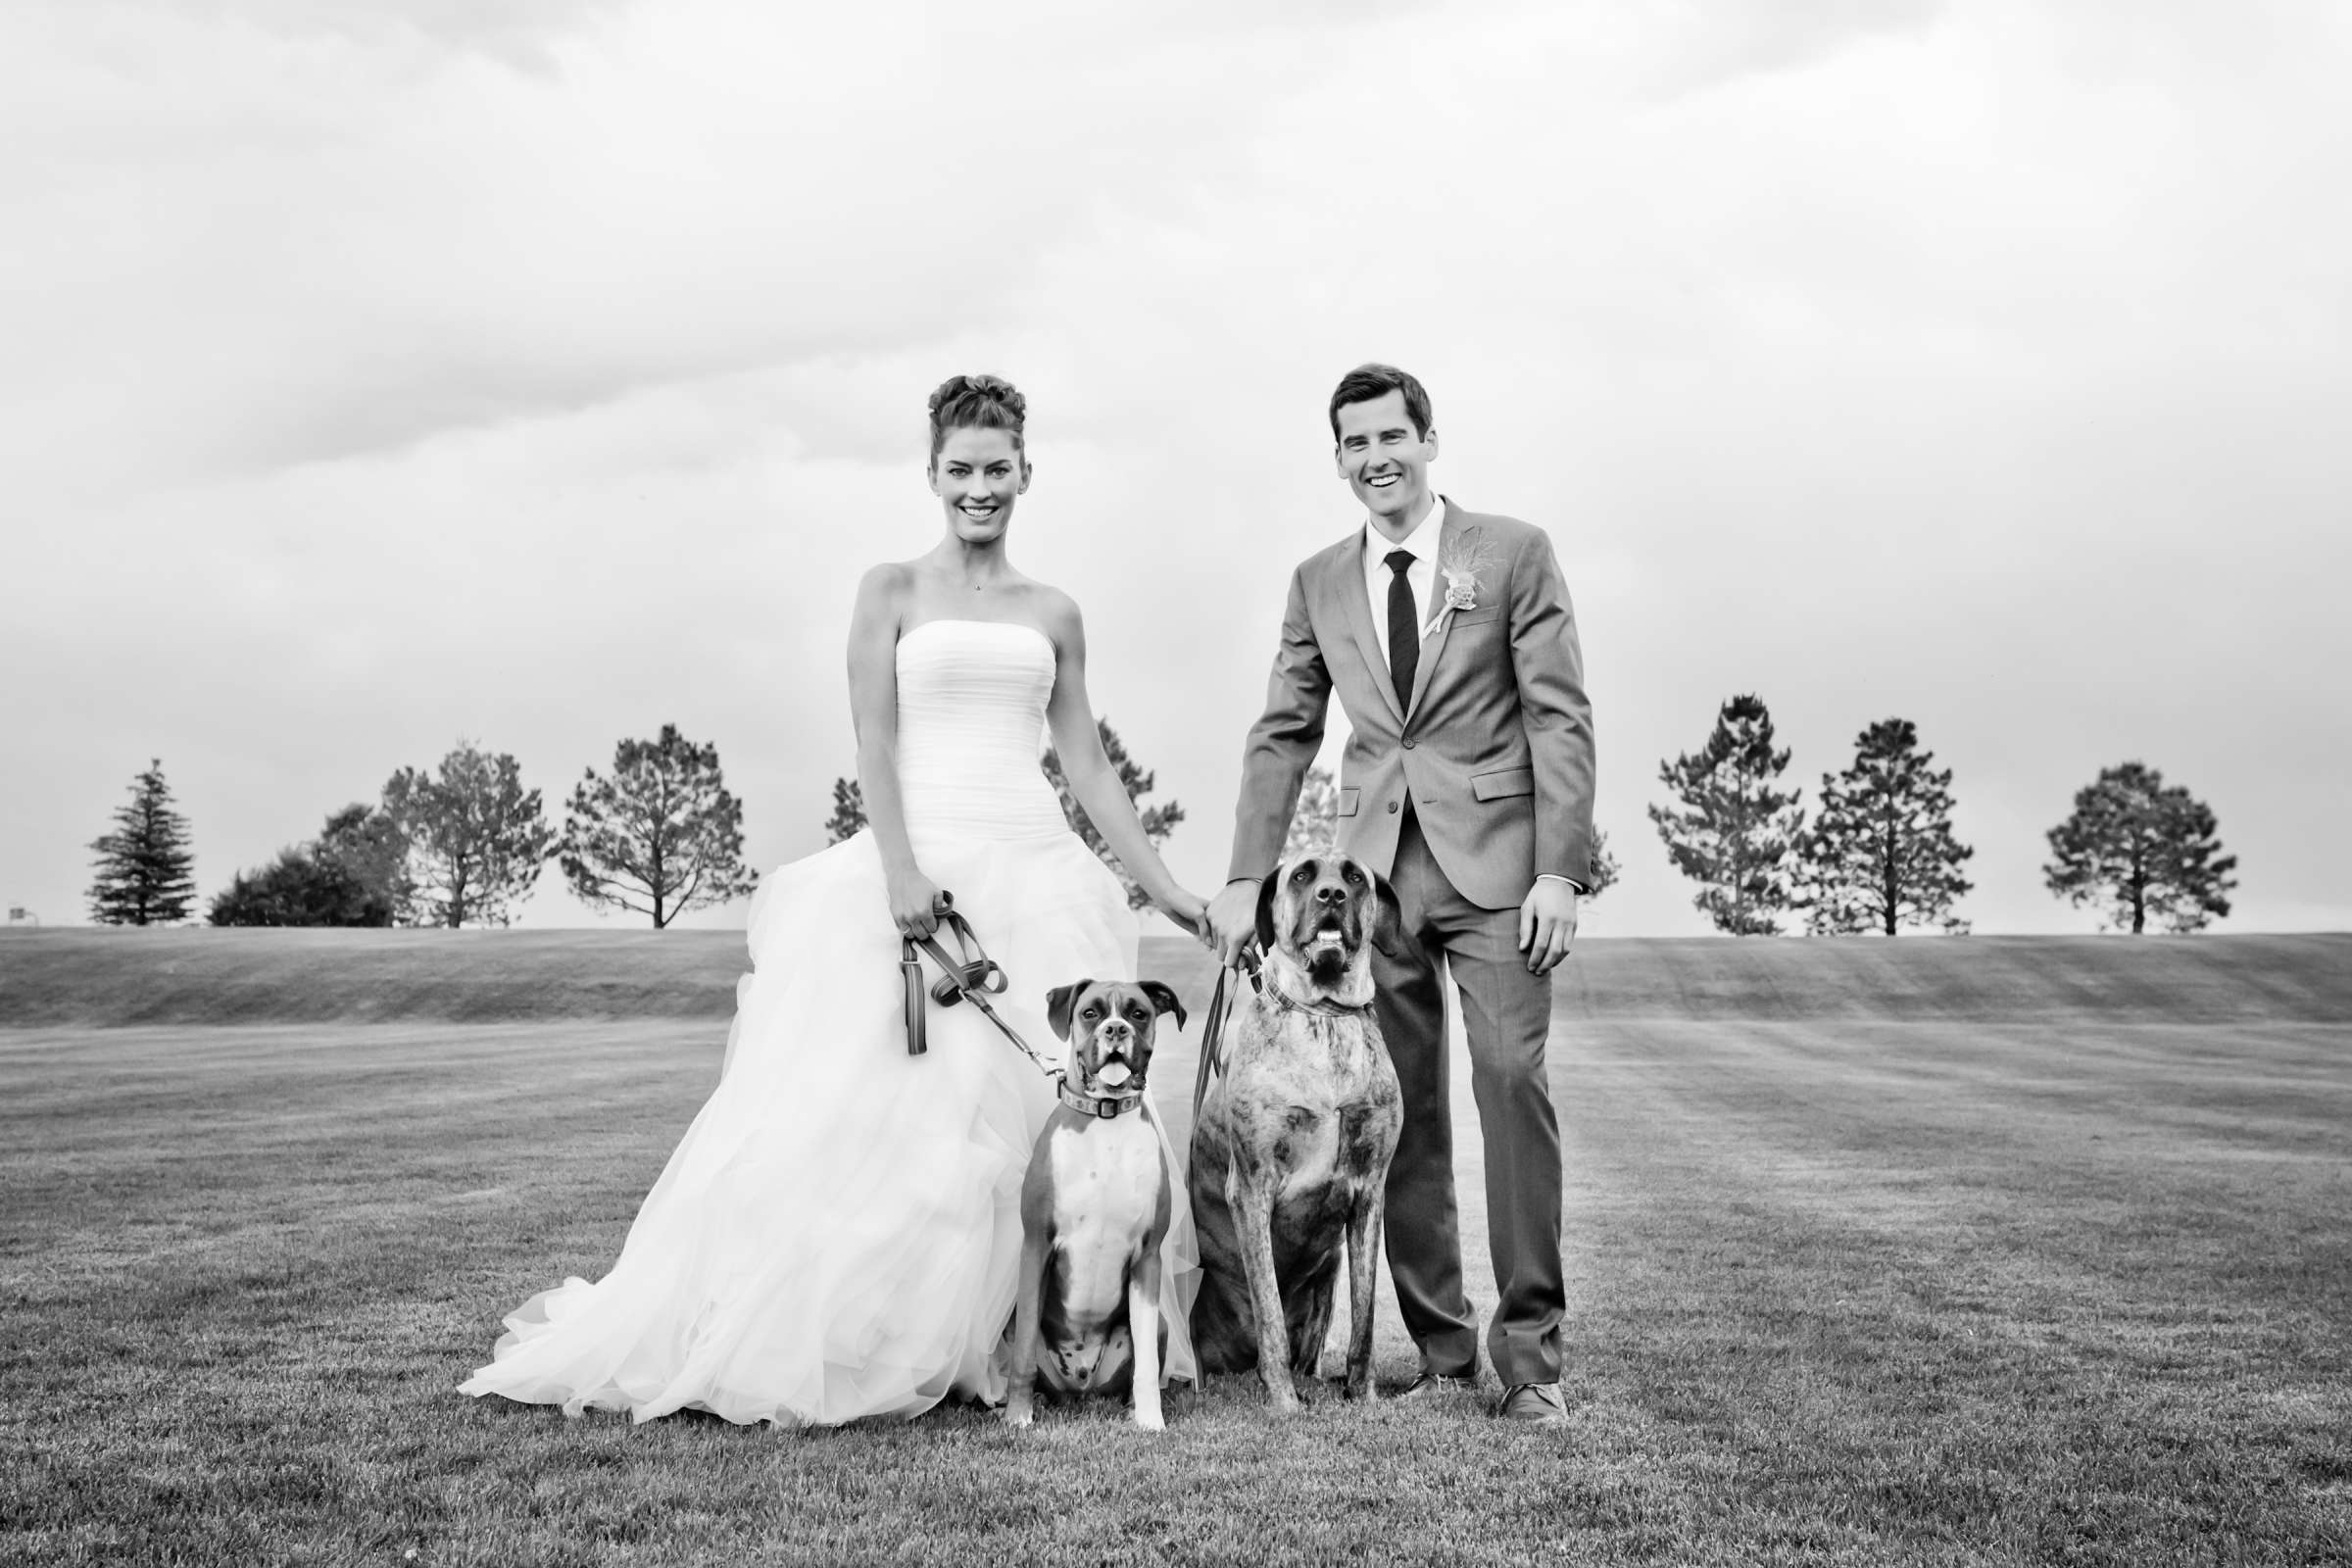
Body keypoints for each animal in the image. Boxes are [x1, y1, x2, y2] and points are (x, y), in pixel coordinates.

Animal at [1002, 982, 1185, 1439]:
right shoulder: (1036, 1246)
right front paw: (1017, 1415)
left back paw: (1130, 1407)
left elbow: (1147, 1367)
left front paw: (1150, 1419)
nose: (1116, 1029)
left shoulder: (1148, 1257)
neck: (1107, 1119)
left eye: (1138, 1013)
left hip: (1158, 1321)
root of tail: (1081, 1384)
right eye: (1090, 1013)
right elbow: (1024, 1354)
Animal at [1195, 851, 1392, 1419]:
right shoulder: (1252, 1188)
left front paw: (1363, 1395)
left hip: (1330, 1272)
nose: (1332, 895)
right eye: (1303, 874)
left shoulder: (1370, 1192)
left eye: (1354, 877)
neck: (1322, 1016)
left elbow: (1365, 1322)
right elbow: (1271, 1318)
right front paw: (1283, 1402)